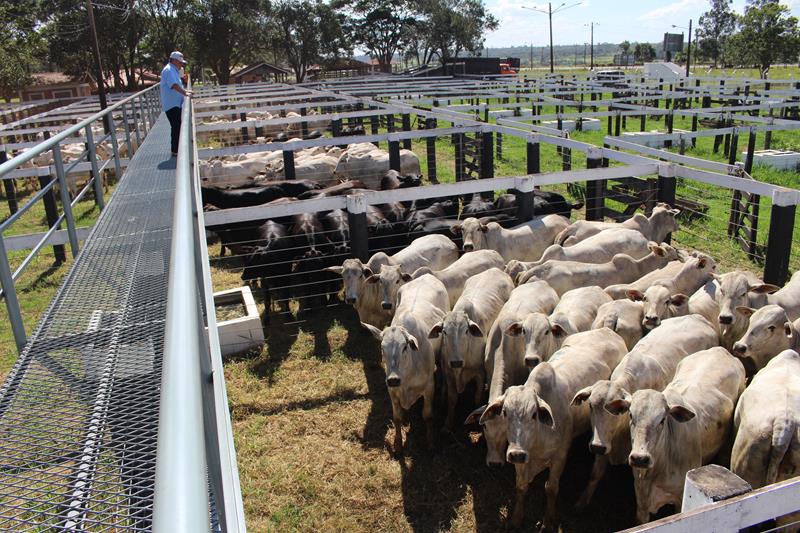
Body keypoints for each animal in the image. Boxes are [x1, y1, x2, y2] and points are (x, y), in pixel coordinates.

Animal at [362, 274, 450, 454]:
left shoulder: (429, 386)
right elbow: (396, 417)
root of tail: (427, 275)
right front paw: (397, 443)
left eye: (405, 347)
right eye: (382, 348)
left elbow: (428, 415)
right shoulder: (392, 390)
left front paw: (430, 443)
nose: (394, 379)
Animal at [432, 268, 512, 430]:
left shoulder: (480, 373)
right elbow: (452, 399)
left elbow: (477, 398)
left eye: (466, 331)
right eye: (444, 331)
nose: (456, 362)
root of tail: (497, 270)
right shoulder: (449, 373)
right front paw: (447, 424)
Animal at [478, 328, 628, 528]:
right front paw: (517, 519)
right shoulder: (522, 458)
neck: (537, 439)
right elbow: (521, 486)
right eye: (505, 412)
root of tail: (608, 330)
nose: (516, 454)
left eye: (534, 414)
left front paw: (548, 522)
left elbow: (551, 488)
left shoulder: (560, 456)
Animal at [624, 348, 744, 520]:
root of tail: (721, 350)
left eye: (662, 420)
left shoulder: (680, 499)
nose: (640, 458)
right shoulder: (641, 501)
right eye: (630, 415)